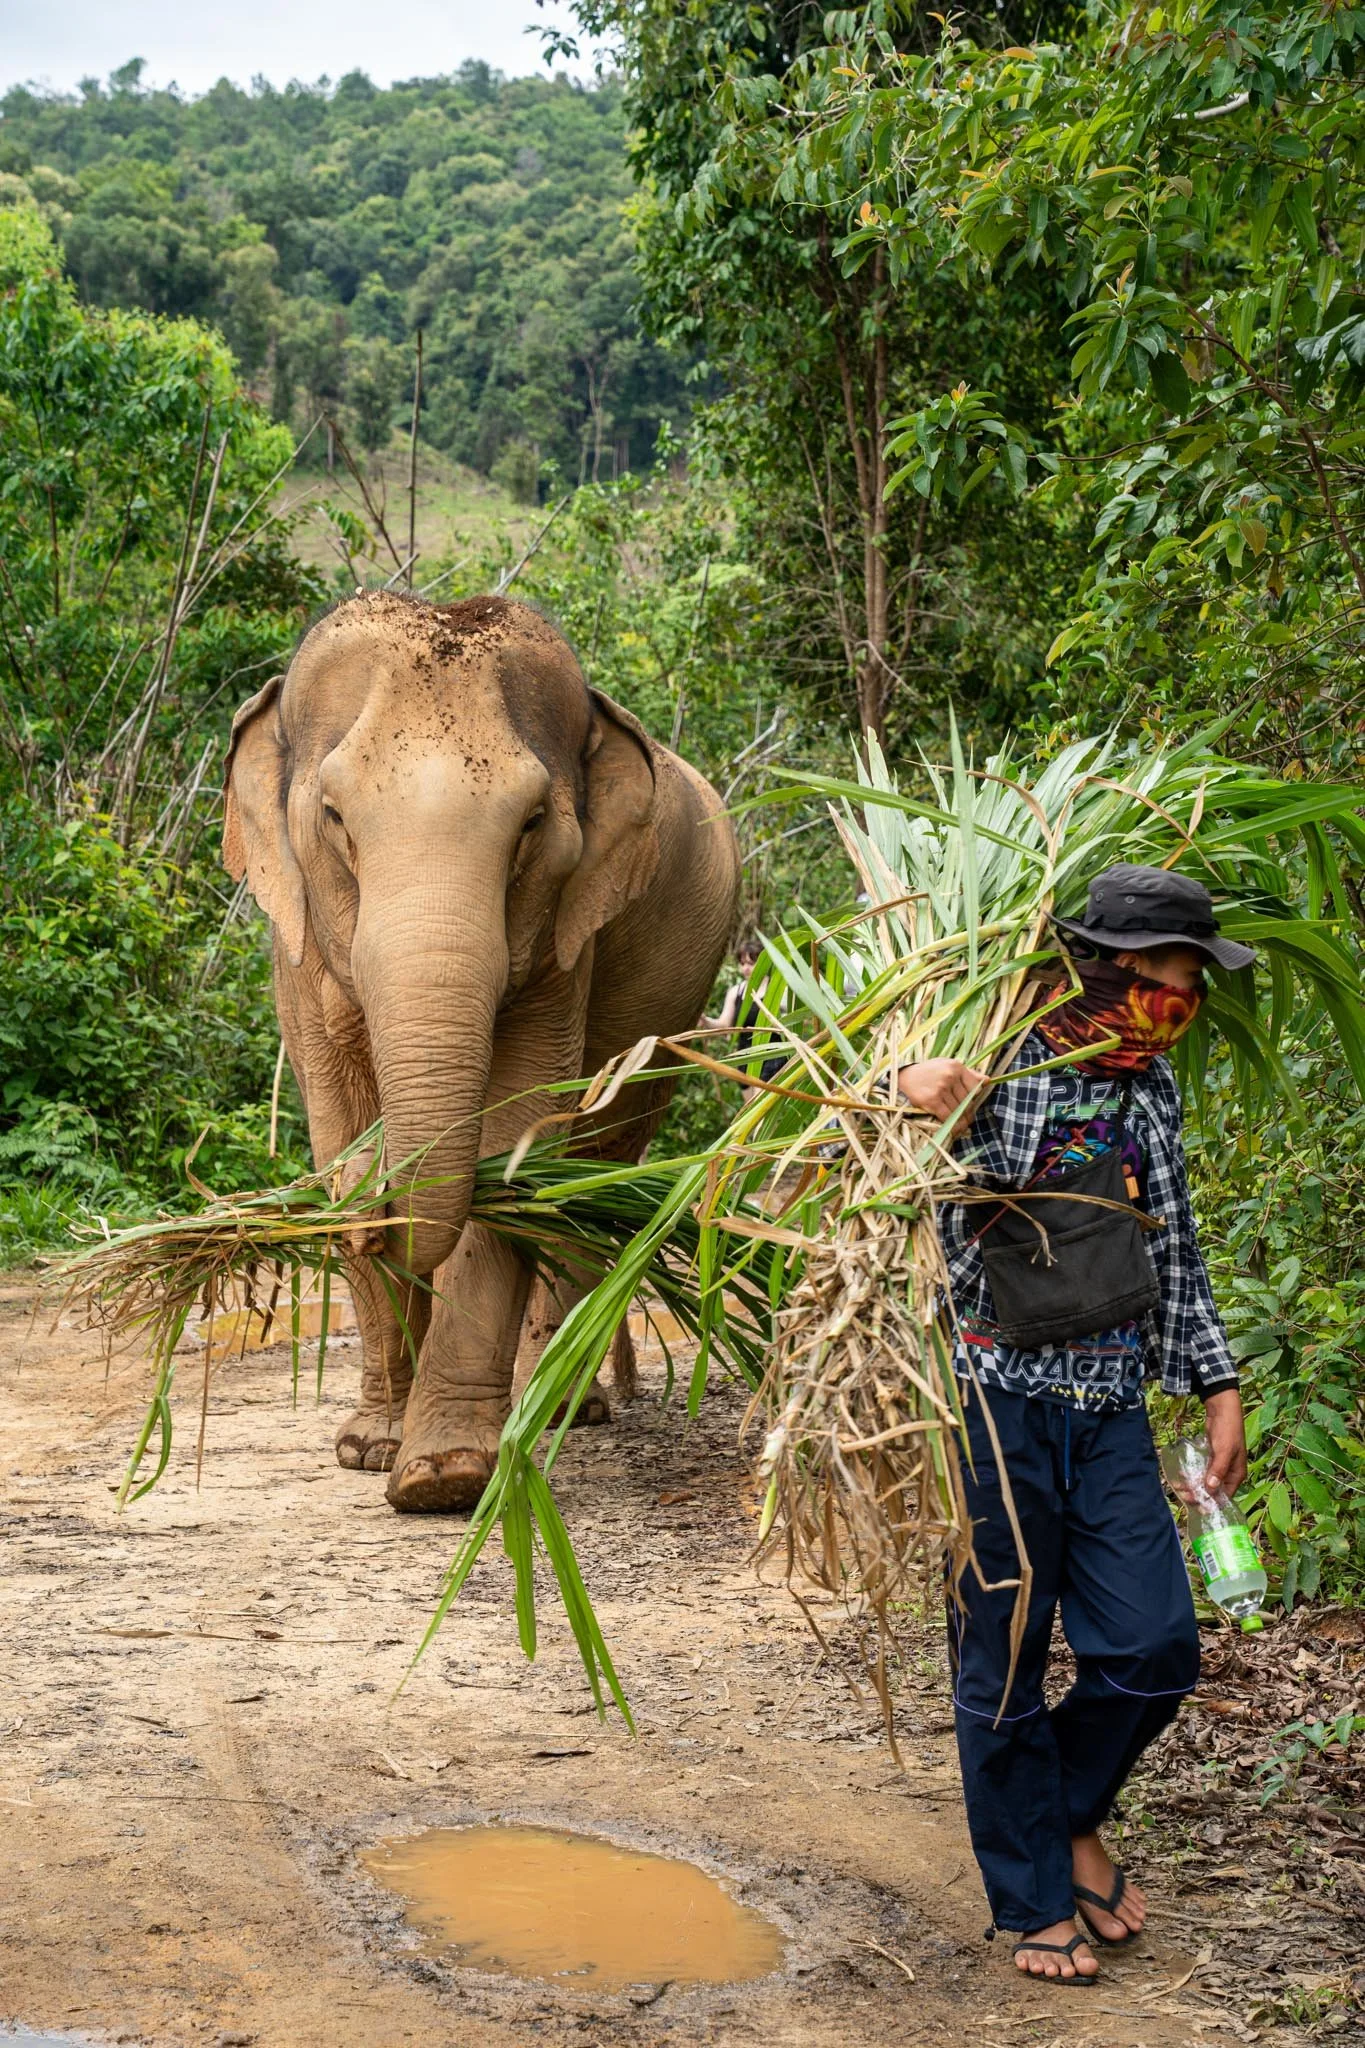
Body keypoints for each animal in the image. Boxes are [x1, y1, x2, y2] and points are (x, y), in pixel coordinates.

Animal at [223, 591, 740, 1512]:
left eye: (532, 825)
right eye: (334, 819)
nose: (378, 1206)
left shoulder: (569, 938)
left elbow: (512, 1140)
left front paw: (445, 1478)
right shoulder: (296, 954)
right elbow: (335, 1131)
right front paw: (371, 1448)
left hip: (670, 1020)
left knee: (589, 1175)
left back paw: (561, 1406)